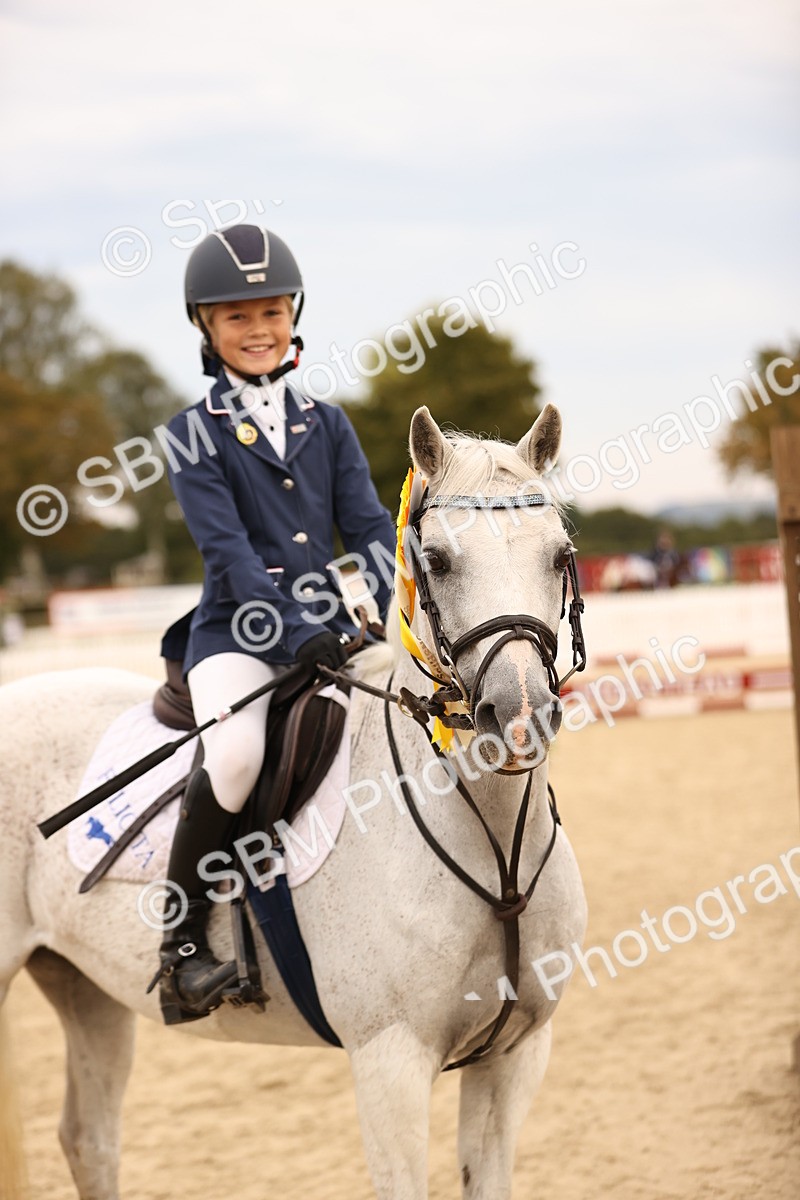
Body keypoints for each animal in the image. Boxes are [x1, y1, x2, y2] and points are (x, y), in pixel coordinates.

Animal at [0, 403, 587, 1200]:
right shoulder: (389, 1063)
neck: (494, 849)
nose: (518, 714)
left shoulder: (516, 1055)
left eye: (559, 555)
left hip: (84, 989)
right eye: (437, 561)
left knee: (89, 1139)